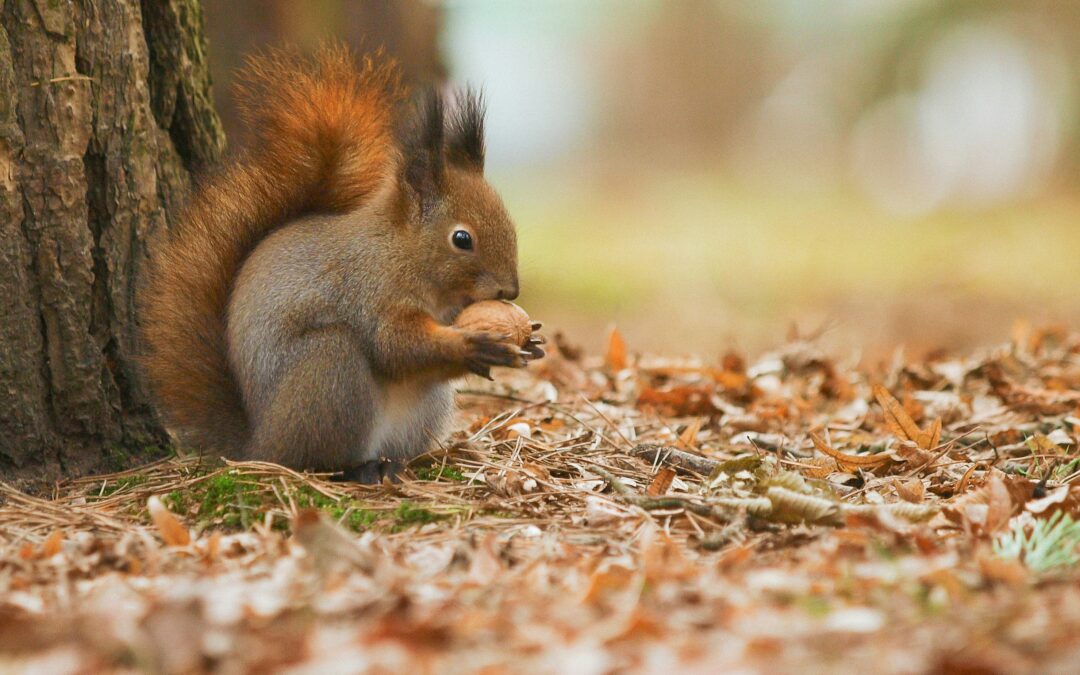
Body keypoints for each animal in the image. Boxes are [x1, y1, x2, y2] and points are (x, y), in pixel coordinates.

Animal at [141, 45, 543, 482]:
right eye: (462, 239)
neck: (401, 252)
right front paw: (472, 344)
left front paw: (529, 341)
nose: (511, 290)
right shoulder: (371, 290)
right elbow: (395, 346)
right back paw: (357, 468)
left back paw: (395, 463)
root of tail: (257, 444)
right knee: (314, 455)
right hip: (330, 371)